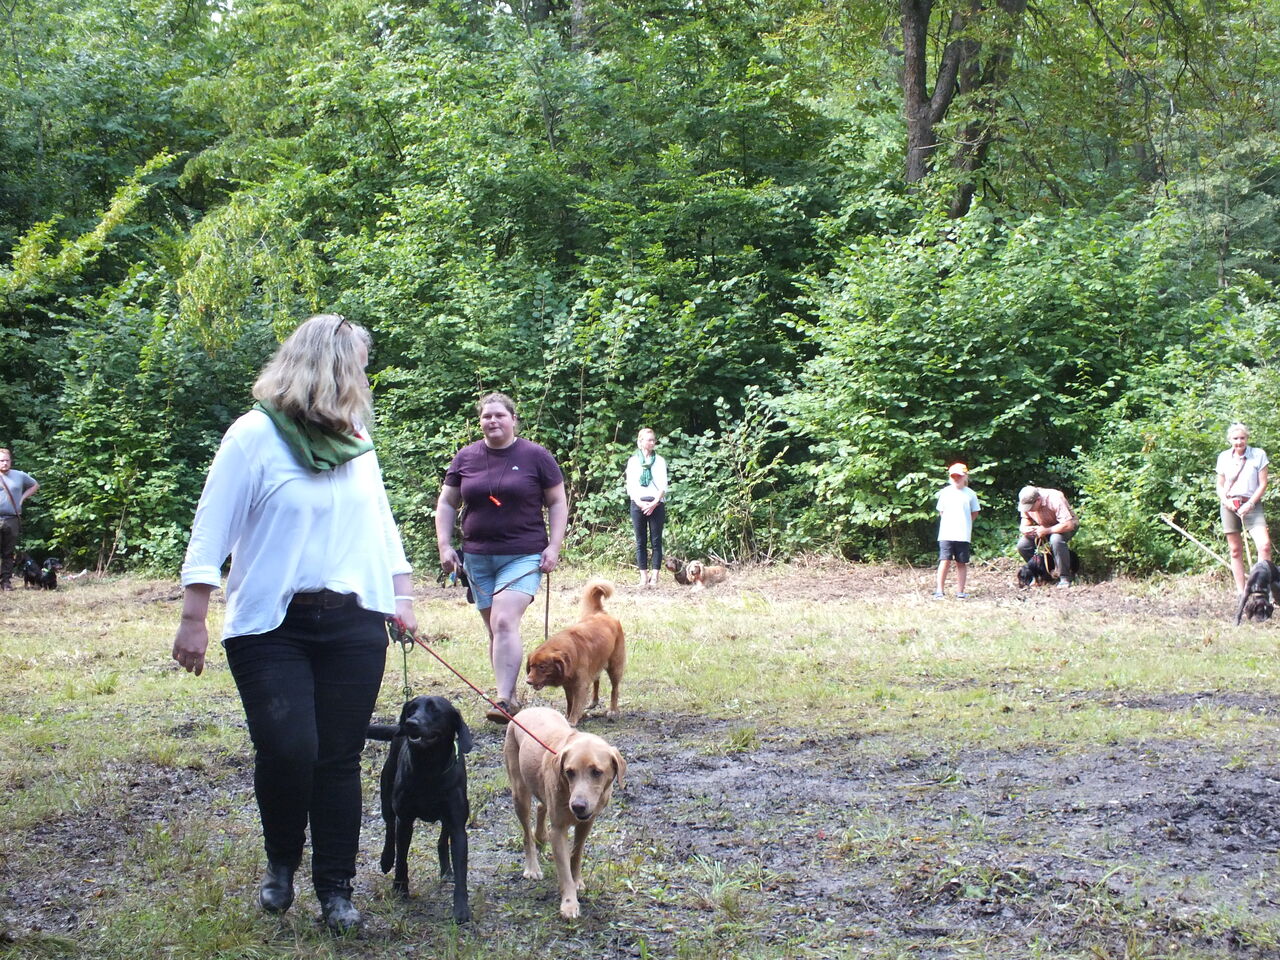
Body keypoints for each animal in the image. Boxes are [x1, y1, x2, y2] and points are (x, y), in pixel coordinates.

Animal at [368, 696, 473, 921]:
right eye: (411, 709)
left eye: (435, 710)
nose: (410, 723)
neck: (428, 770)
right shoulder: (405, 820)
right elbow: (402, 858)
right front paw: (400, 888)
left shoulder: (458, 825)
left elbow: (461, 869)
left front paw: (461, 909)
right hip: (387, 796)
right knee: (389, 827)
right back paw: (386, 859)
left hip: (448, 818)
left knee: (442, 840)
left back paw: (446, 870)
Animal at [506, 711, 632, 921]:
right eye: (569, 772)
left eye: (596, 772)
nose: (578, 806)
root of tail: (527, 710)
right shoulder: (558, 830)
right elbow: (564, 870)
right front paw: (569, 903)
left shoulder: (587, 823)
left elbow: (576, 854)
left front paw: (577, 880)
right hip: (519, 793)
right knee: (526, 834)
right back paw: (532, 867)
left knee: (541, 806)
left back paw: (541, 836)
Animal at [524, 576, 624, 727]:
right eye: (531, 666)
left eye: (542, 667)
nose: (528, 681)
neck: (570, 656)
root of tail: (600, 613)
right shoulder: (568, 685)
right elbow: (570, 702)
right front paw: (567, 715)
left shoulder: (580, 685)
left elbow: (576, 704)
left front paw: (572, 720)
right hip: (597, 663)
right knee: (596, 680)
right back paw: (594, 701)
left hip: (615, 666)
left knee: (615, 688)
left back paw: (613, 709)